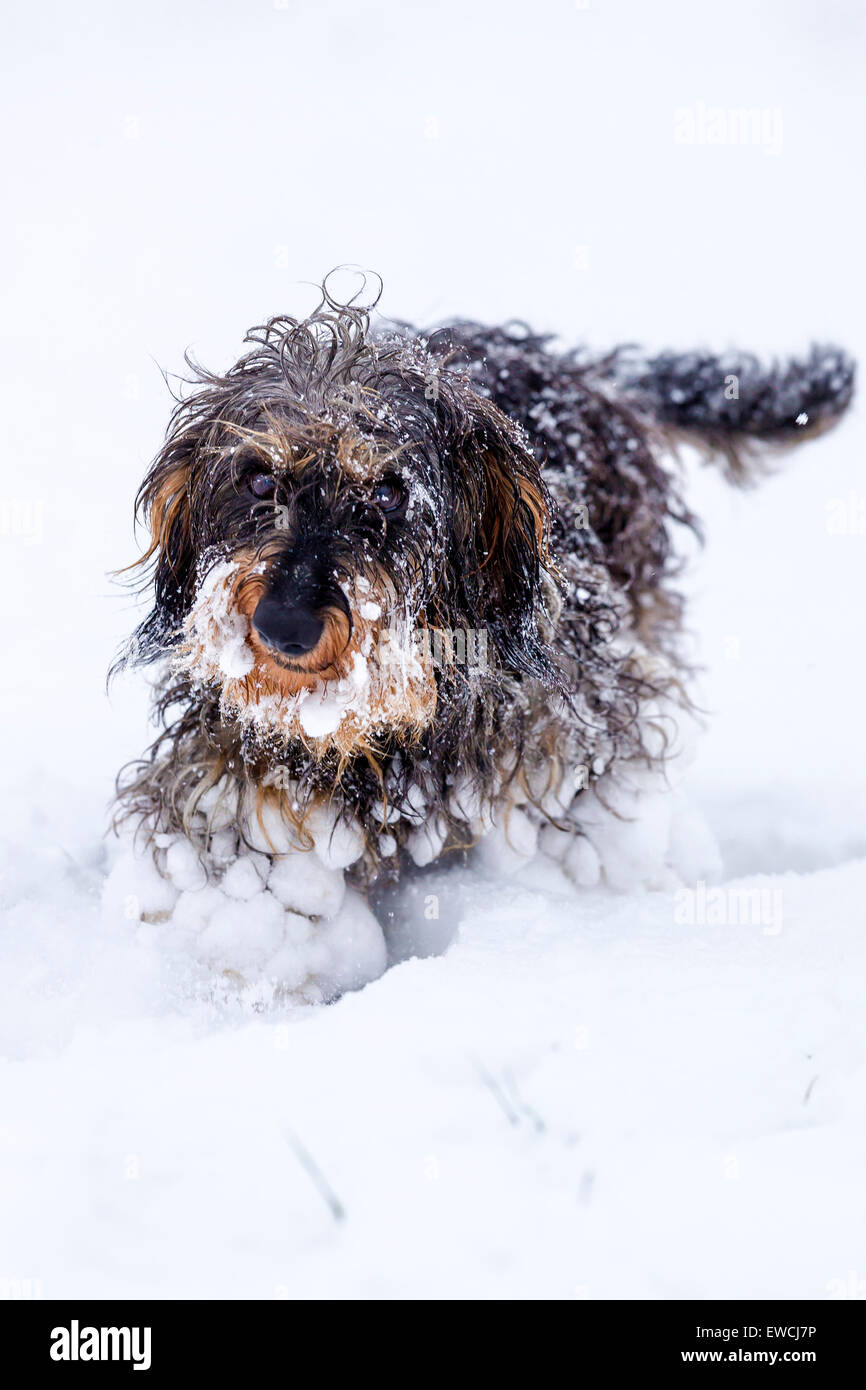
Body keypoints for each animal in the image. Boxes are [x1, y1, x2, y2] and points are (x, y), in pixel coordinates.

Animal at [107, 282, 856, 1000]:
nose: (283, 627)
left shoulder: (566, 729)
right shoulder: (233, 758)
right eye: (258, 477)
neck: (385, 722)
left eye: (388, 493)